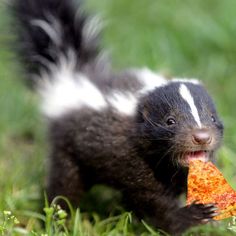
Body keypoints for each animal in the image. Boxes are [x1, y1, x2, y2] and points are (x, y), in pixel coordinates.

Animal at [12, 0, 224, 234]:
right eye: (170, 121)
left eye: (212, 118)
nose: (202, 136)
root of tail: (71, 76)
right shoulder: (134, 161)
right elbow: (155, 205)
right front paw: (193, 215)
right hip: (67, 148)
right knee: (64, 186)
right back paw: (57, 222)